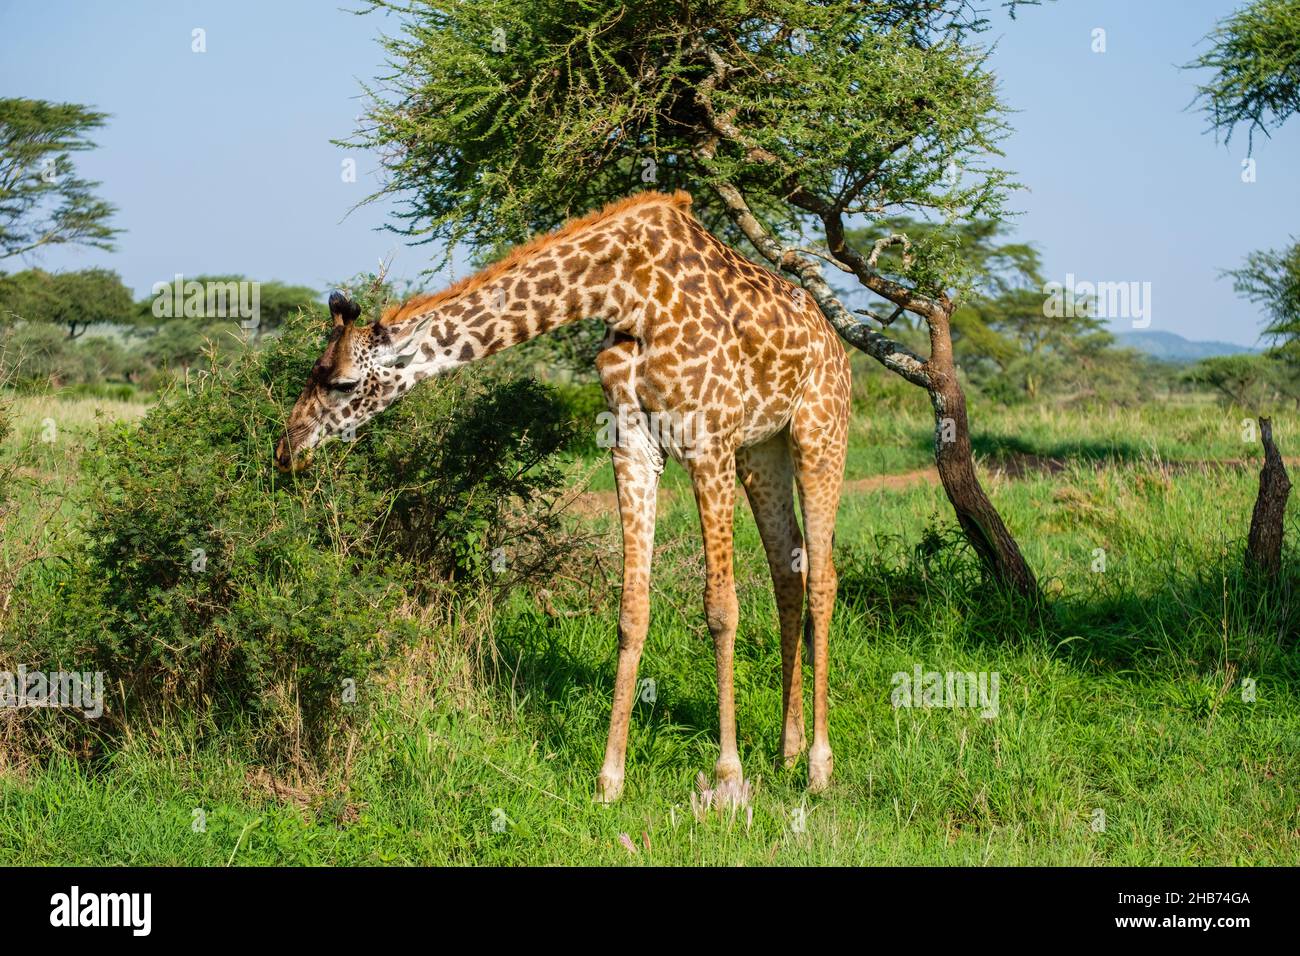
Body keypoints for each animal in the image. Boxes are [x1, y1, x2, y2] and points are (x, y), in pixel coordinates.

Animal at [274, 191, 852, 806]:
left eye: (340, 382)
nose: (287, 449)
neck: (624, 291)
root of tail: (836, 341)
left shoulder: (707, 441)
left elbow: (720, 609)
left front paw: (727, 777)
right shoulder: (634, 446)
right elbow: (631, 612)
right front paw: (610, 779)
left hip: (818, 432)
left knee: (822, 578)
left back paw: (818, 766)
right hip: (762, 448)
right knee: (788, 570)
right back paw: (788, 750)